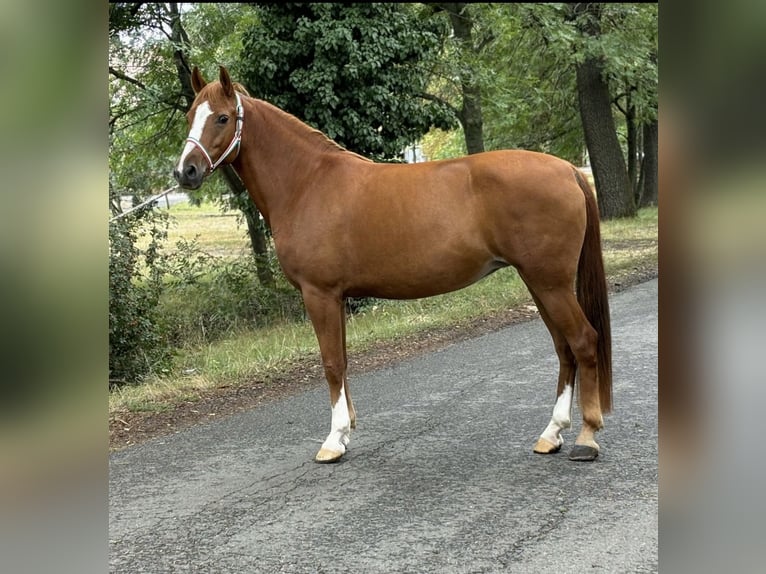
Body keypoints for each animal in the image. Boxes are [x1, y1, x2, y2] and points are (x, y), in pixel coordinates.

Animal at [172, 66, 612, 464]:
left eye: (222, 117)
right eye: (190, 114)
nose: (185, 171)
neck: (308, 182)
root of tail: (568, 170)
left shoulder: (320, 294)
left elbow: (331, 363)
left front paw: (333, 441)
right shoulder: (337, 297)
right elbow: (343, 360)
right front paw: (346, 431)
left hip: (550, 283)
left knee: (583, 341)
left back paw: (586, 439)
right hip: (539, 283)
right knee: (563, 348)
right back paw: (551, 434)